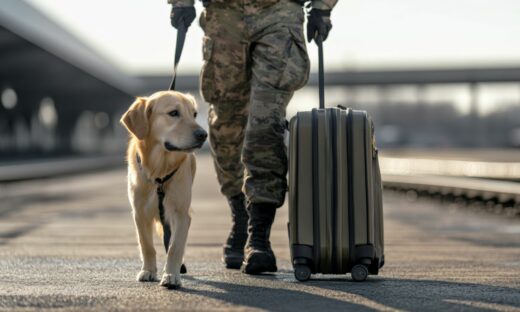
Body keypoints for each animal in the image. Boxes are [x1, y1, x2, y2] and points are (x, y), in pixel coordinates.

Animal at [120, 91, 207, 290]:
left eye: (194, 114)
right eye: (173, 113)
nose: (203, 135)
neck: (158, 170)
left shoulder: (181, 214)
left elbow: (175, 247)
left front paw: (171, 275)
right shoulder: (139, 213)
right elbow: (146, 246)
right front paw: (148, 271)